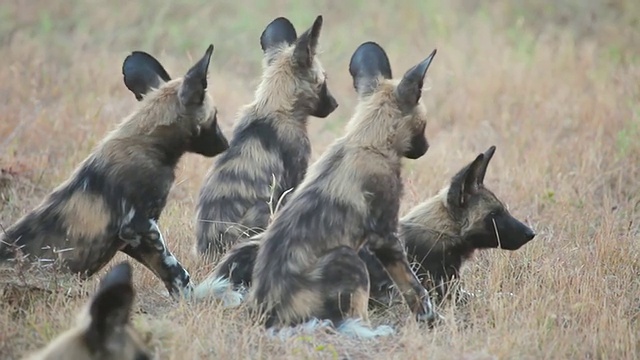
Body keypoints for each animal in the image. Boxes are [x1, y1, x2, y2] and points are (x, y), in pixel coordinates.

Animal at [0, 43, 230, 300]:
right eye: (215, 117)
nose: (226, 144)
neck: (149, 144)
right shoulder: (141, 227)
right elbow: (177, 272)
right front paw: (193, 300)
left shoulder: (130, 239)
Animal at [192, 14, 338, 262]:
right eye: (323, 81)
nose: (335, 104)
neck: (275, 107)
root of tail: (210, 249)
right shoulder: (294, 179)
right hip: (262, 210)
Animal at [202, 40, 442, 338]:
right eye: (424, 125)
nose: (427, 148)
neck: (368, 142)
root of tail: (269, 317)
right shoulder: (386, 238)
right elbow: (414, 288)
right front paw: (430, 320)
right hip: (349, 259)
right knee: (350, 323)